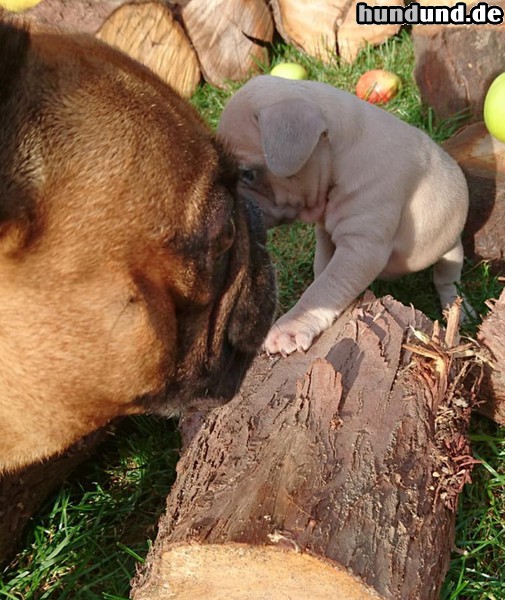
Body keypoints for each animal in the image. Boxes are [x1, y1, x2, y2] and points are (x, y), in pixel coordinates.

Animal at [217, 75, 468, 356]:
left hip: (451, 250)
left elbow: (325, 288)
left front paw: (289, 328)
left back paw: (458, 310)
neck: (338, 157)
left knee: (447, 279)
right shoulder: (327, 237)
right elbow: (322, 273)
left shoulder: (362, 247)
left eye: (247, 174)